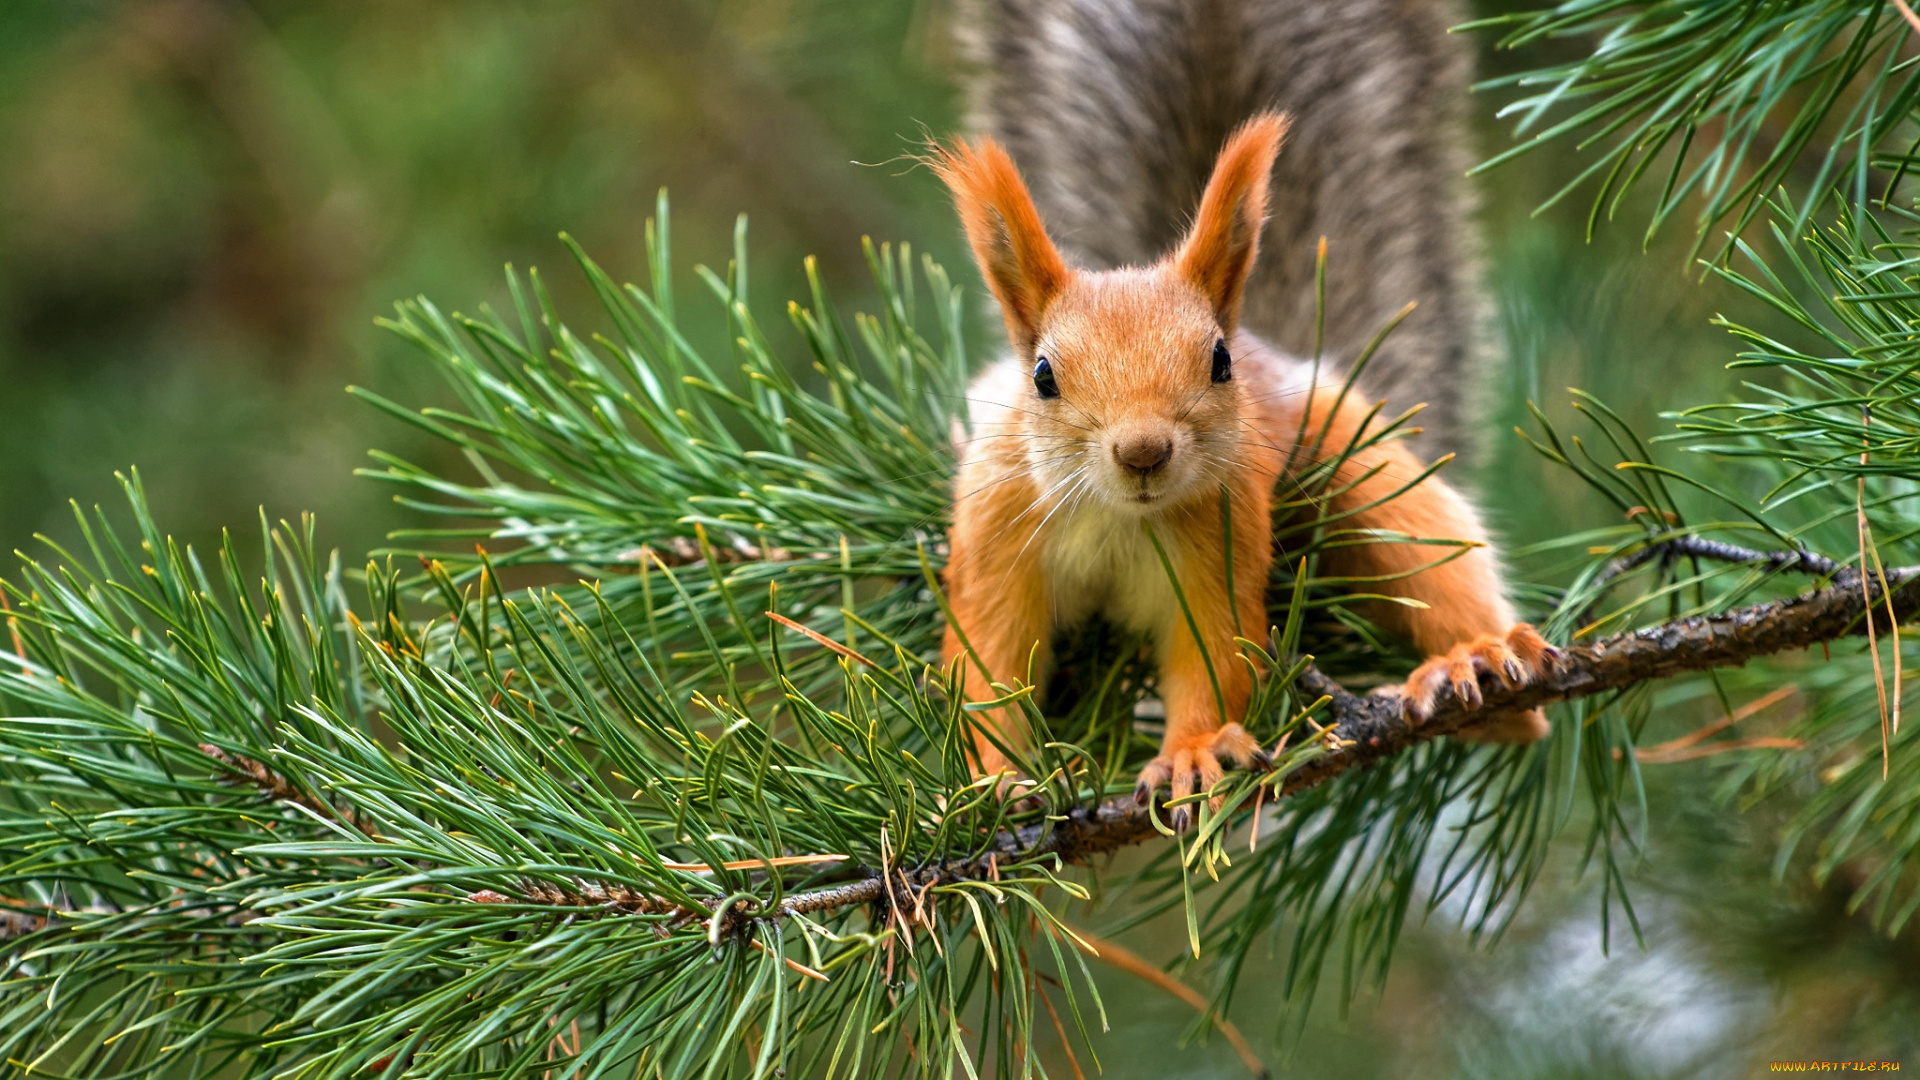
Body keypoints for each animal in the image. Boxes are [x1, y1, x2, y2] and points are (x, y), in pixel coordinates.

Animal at [925, 2, 1543, 822]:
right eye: (1043, 377)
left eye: (1218, 362)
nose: (1144, 451)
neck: (1116, 517)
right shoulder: (998, 529)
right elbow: (989, 663)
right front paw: (991, 784)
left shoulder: (1220, 531)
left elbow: (1216, 649)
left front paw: (1192, 752)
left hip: (1356, 465)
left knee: (1438, 570)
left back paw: (1473, 661)